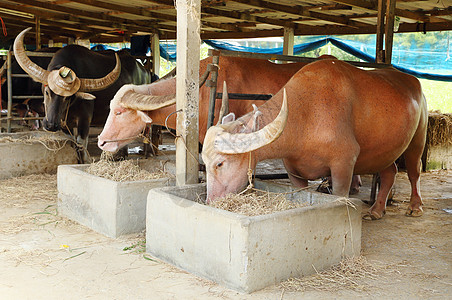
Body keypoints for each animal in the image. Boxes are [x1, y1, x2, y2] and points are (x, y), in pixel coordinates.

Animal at [13, 28, 157, 162]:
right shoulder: (65, 123)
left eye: (67, 97)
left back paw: (148, 152)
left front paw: (85, 161)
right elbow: (73, 143)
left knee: (147, 129)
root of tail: (145, 71)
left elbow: (81, 143)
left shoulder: (85, 118)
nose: (51, 125)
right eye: (47, 92)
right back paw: (121, 155)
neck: (71, 106)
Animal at [202, 59, 428, 221]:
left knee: (414, 172)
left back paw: (415, 206)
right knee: (390, 173)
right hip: (386, 151)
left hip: (417, 140)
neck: (305, 114)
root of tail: (414, 83)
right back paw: (377, 210)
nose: (211, 202)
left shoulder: (344, 164)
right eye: (204, 161)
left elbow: (339, 194)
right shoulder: (292, 169)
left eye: (220, 163)